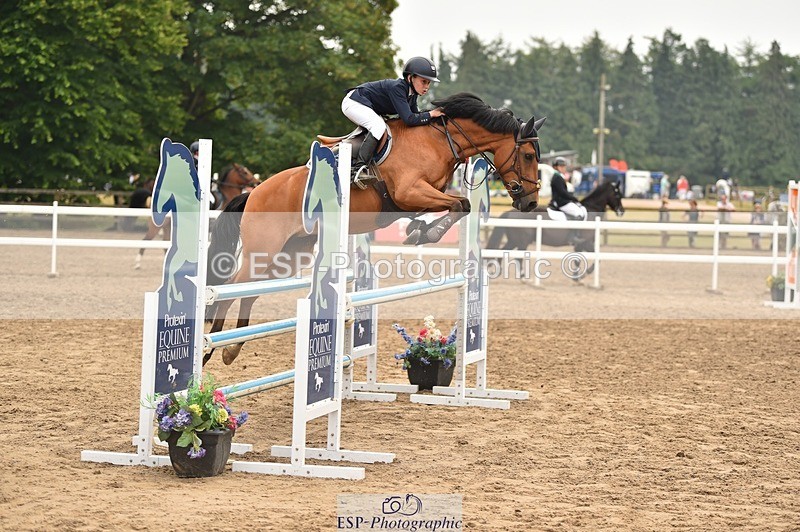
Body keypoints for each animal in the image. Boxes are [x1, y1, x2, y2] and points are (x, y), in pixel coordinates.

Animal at [204, 92, 545, 366]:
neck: (439, 141)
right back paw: (208, 350)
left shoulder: (417, 197)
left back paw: (231, 350)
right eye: (528, 155)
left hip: (290, 254)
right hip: (263, 249)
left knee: (250, 292)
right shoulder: (409, 191)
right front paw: (425, 233)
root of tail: (255, 191)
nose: (530, 202)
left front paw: (418, 230)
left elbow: (456, 206)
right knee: (230, 289)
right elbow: (461, 204)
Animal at [486, 180, 625, 254]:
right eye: (618, 195)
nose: (621, 211)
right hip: (521, 241)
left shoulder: (582, 244)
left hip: (514, 240)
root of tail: (509, 212)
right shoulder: (586, 242)